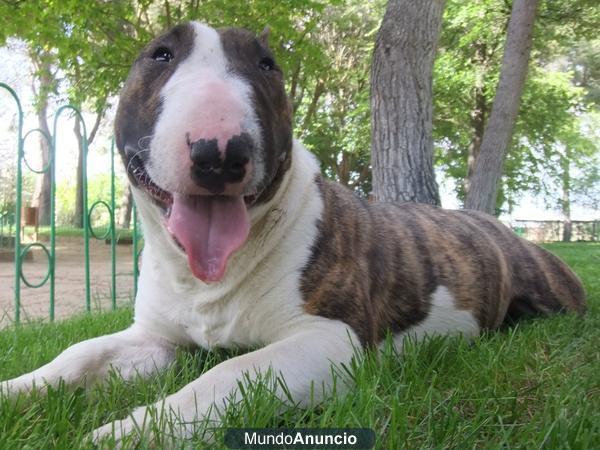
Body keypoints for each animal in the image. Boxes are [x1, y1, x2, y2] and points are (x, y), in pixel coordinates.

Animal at [0, 21, 584, 442]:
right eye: (160, 55)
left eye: (267, 64)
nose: (220, 152)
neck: (209, 277)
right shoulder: (155, 339)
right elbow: (78, 355)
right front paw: (14, 390)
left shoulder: (330, 341)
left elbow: (225, 375)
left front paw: (129, 432)